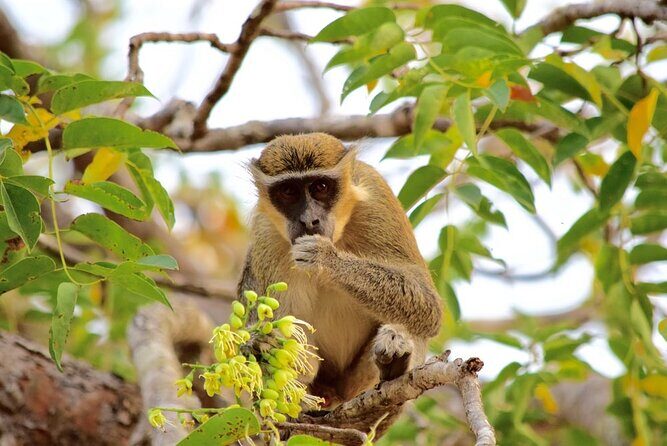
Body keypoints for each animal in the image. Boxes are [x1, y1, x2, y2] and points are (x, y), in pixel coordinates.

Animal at [239, 133, 443, 409]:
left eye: (321, 187)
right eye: (289, 191)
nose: (309, 220)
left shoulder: (377, 198)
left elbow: (428, 305)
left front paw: (326, 259)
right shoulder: (266, 235)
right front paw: (258, 344)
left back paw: (395, 365)